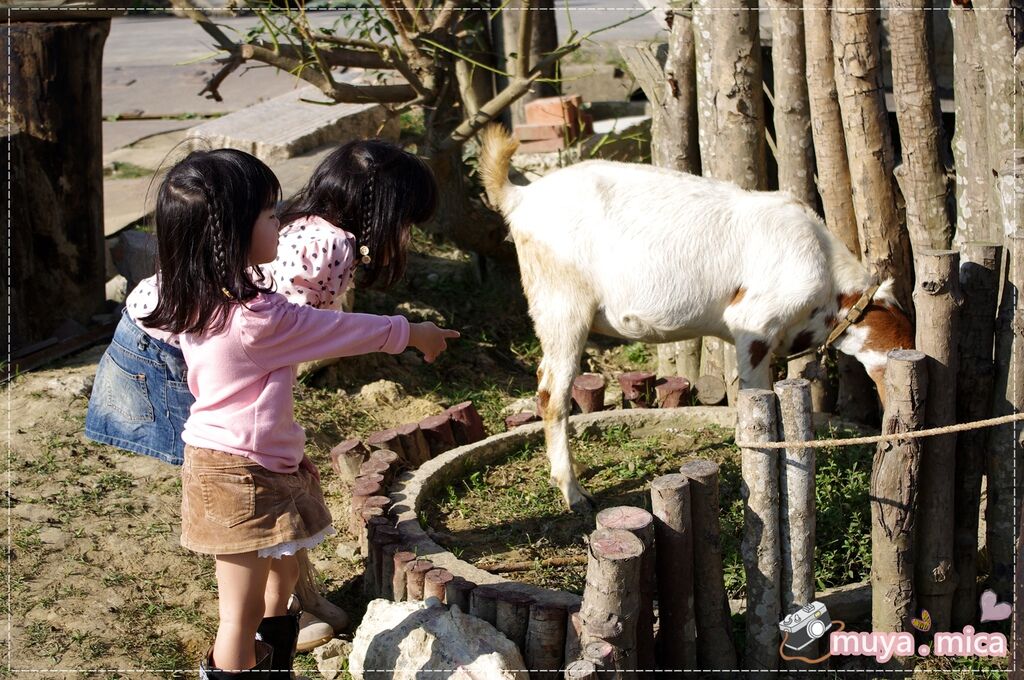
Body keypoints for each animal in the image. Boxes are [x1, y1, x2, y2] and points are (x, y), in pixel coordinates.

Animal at [477, 124, 913, 512]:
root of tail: (522, 196)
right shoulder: (754, 322)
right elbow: (757, 393)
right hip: (562, 304)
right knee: (553, 393)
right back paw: (574, 494)